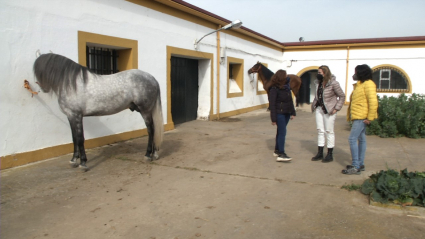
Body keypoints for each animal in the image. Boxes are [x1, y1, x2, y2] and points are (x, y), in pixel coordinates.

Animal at [32, 53, 162, 171]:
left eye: (40, 71)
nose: (43, 88)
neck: (72, 85)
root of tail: (152, 78)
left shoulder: (77, 116)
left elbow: (80, 139)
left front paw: (83, 163)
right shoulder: (71, 116)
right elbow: (74, 138)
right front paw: (73, 161)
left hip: (145, 110)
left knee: (151, 130)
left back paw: (148, 155)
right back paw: (154, 154)